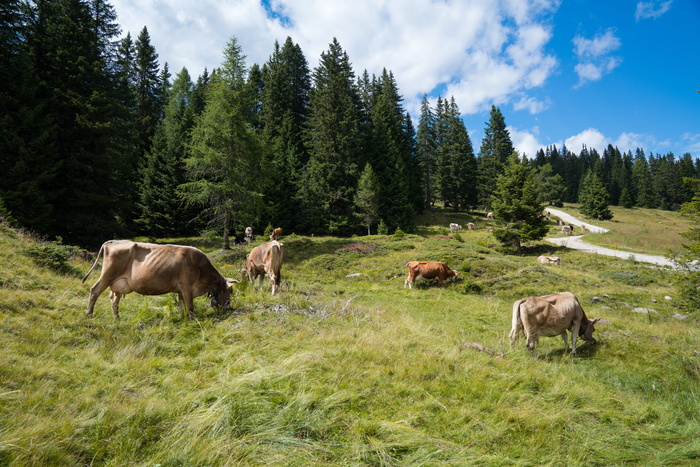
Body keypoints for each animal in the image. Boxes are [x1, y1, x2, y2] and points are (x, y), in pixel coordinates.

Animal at [82, 241, 238, 322]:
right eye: (230, 291)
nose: (228, 307)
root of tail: (113, 241)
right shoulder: (187, 287)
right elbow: (190, 306)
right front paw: (193, 320)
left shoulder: (180, 289)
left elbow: (181, 304)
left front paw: (181, 318)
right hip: (107, 275)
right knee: (94, 291)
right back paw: (89, 314)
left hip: (118, 283)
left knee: (114, 299)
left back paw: (117, 318)